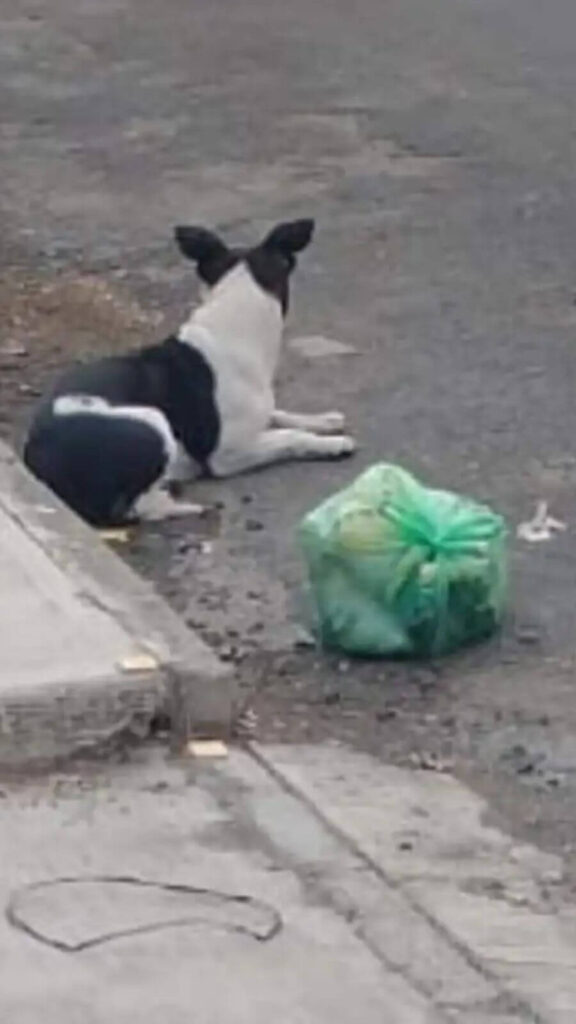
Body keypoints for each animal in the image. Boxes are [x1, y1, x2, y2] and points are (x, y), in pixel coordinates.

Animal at [23, 218, 354, 528]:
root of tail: (34, 456)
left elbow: (280, 415)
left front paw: (324, 420)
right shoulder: (228, 454)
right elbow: (289, 436)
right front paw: (331, 444)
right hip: (153, 422)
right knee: (134, 509)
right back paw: (185, 505)